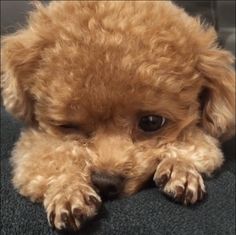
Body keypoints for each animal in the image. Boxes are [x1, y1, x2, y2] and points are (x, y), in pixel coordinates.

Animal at [0, 0, 235, 231]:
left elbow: (196, 144)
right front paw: (68, 190)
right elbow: (52, 156)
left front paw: (181, 168)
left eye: (151, 122)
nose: (106, 182)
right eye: (68, 126)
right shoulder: (33, 143)